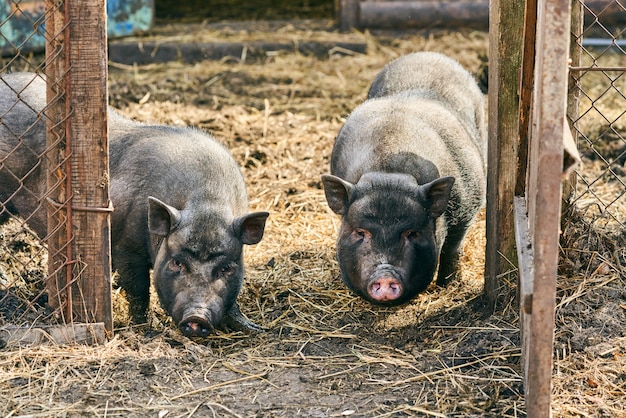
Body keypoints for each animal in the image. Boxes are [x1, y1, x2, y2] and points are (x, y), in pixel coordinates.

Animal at [0, 73, 268, 338]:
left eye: (225, 268)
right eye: (177, 262)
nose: (196, 317)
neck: (207, 202)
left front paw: (256, 327)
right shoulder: (126, 246)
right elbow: (138, 289)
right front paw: (144, 328)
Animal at [320, 52, 486, 306]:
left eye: (412, 233)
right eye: (360, 232)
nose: (385, 276)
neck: (388, 170)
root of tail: (427, 54)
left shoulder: (469, 204)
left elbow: (452, 249)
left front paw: (448, 286)